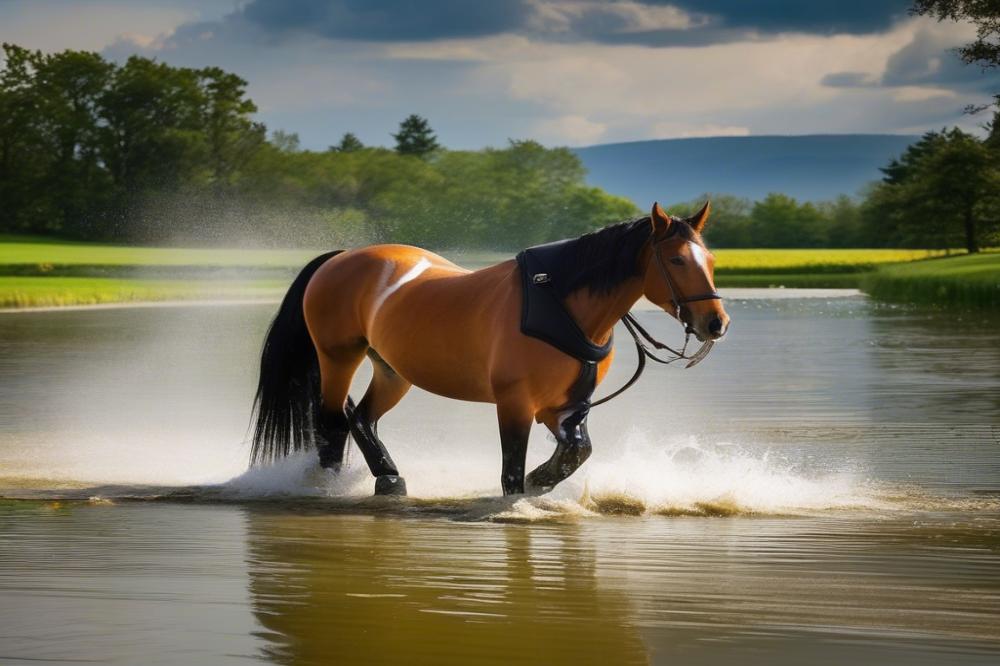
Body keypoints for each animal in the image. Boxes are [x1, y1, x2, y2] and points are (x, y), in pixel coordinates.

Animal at [252, 200, 728, 496]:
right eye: (676, 260)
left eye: (711, 260)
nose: (716, 322)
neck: (561, 303)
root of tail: (340, 257)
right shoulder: (514, 402)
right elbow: (511, 469)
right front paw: (522, 493)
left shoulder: (566, 406)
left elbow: (576, 451)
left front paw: (543, 479)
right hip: (338, 356)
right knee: (331, 420)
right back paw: (328, 487)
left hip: (392, 369)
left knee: (361, 418)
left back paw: (388, 478)